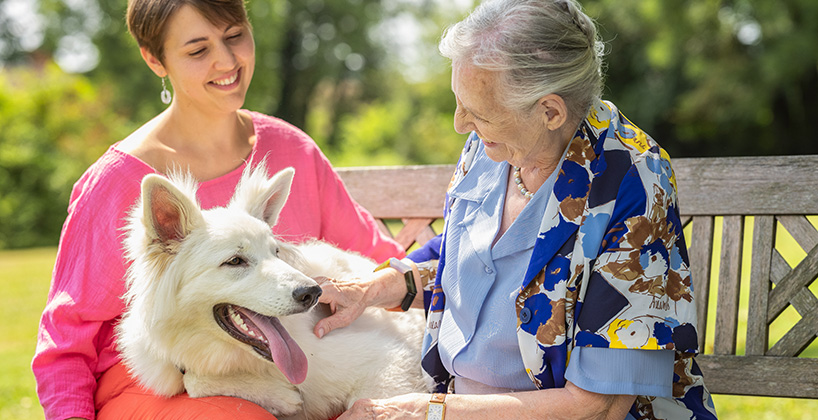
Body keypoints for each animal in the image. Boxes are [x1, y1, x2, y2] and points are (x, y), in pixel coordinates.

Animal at [118, 164, 434, 420]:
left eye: (276, 252)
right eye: (235, 261)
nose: (313, 293)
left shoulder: (387, 361)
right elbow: (191, 381)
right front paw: (279, 396)